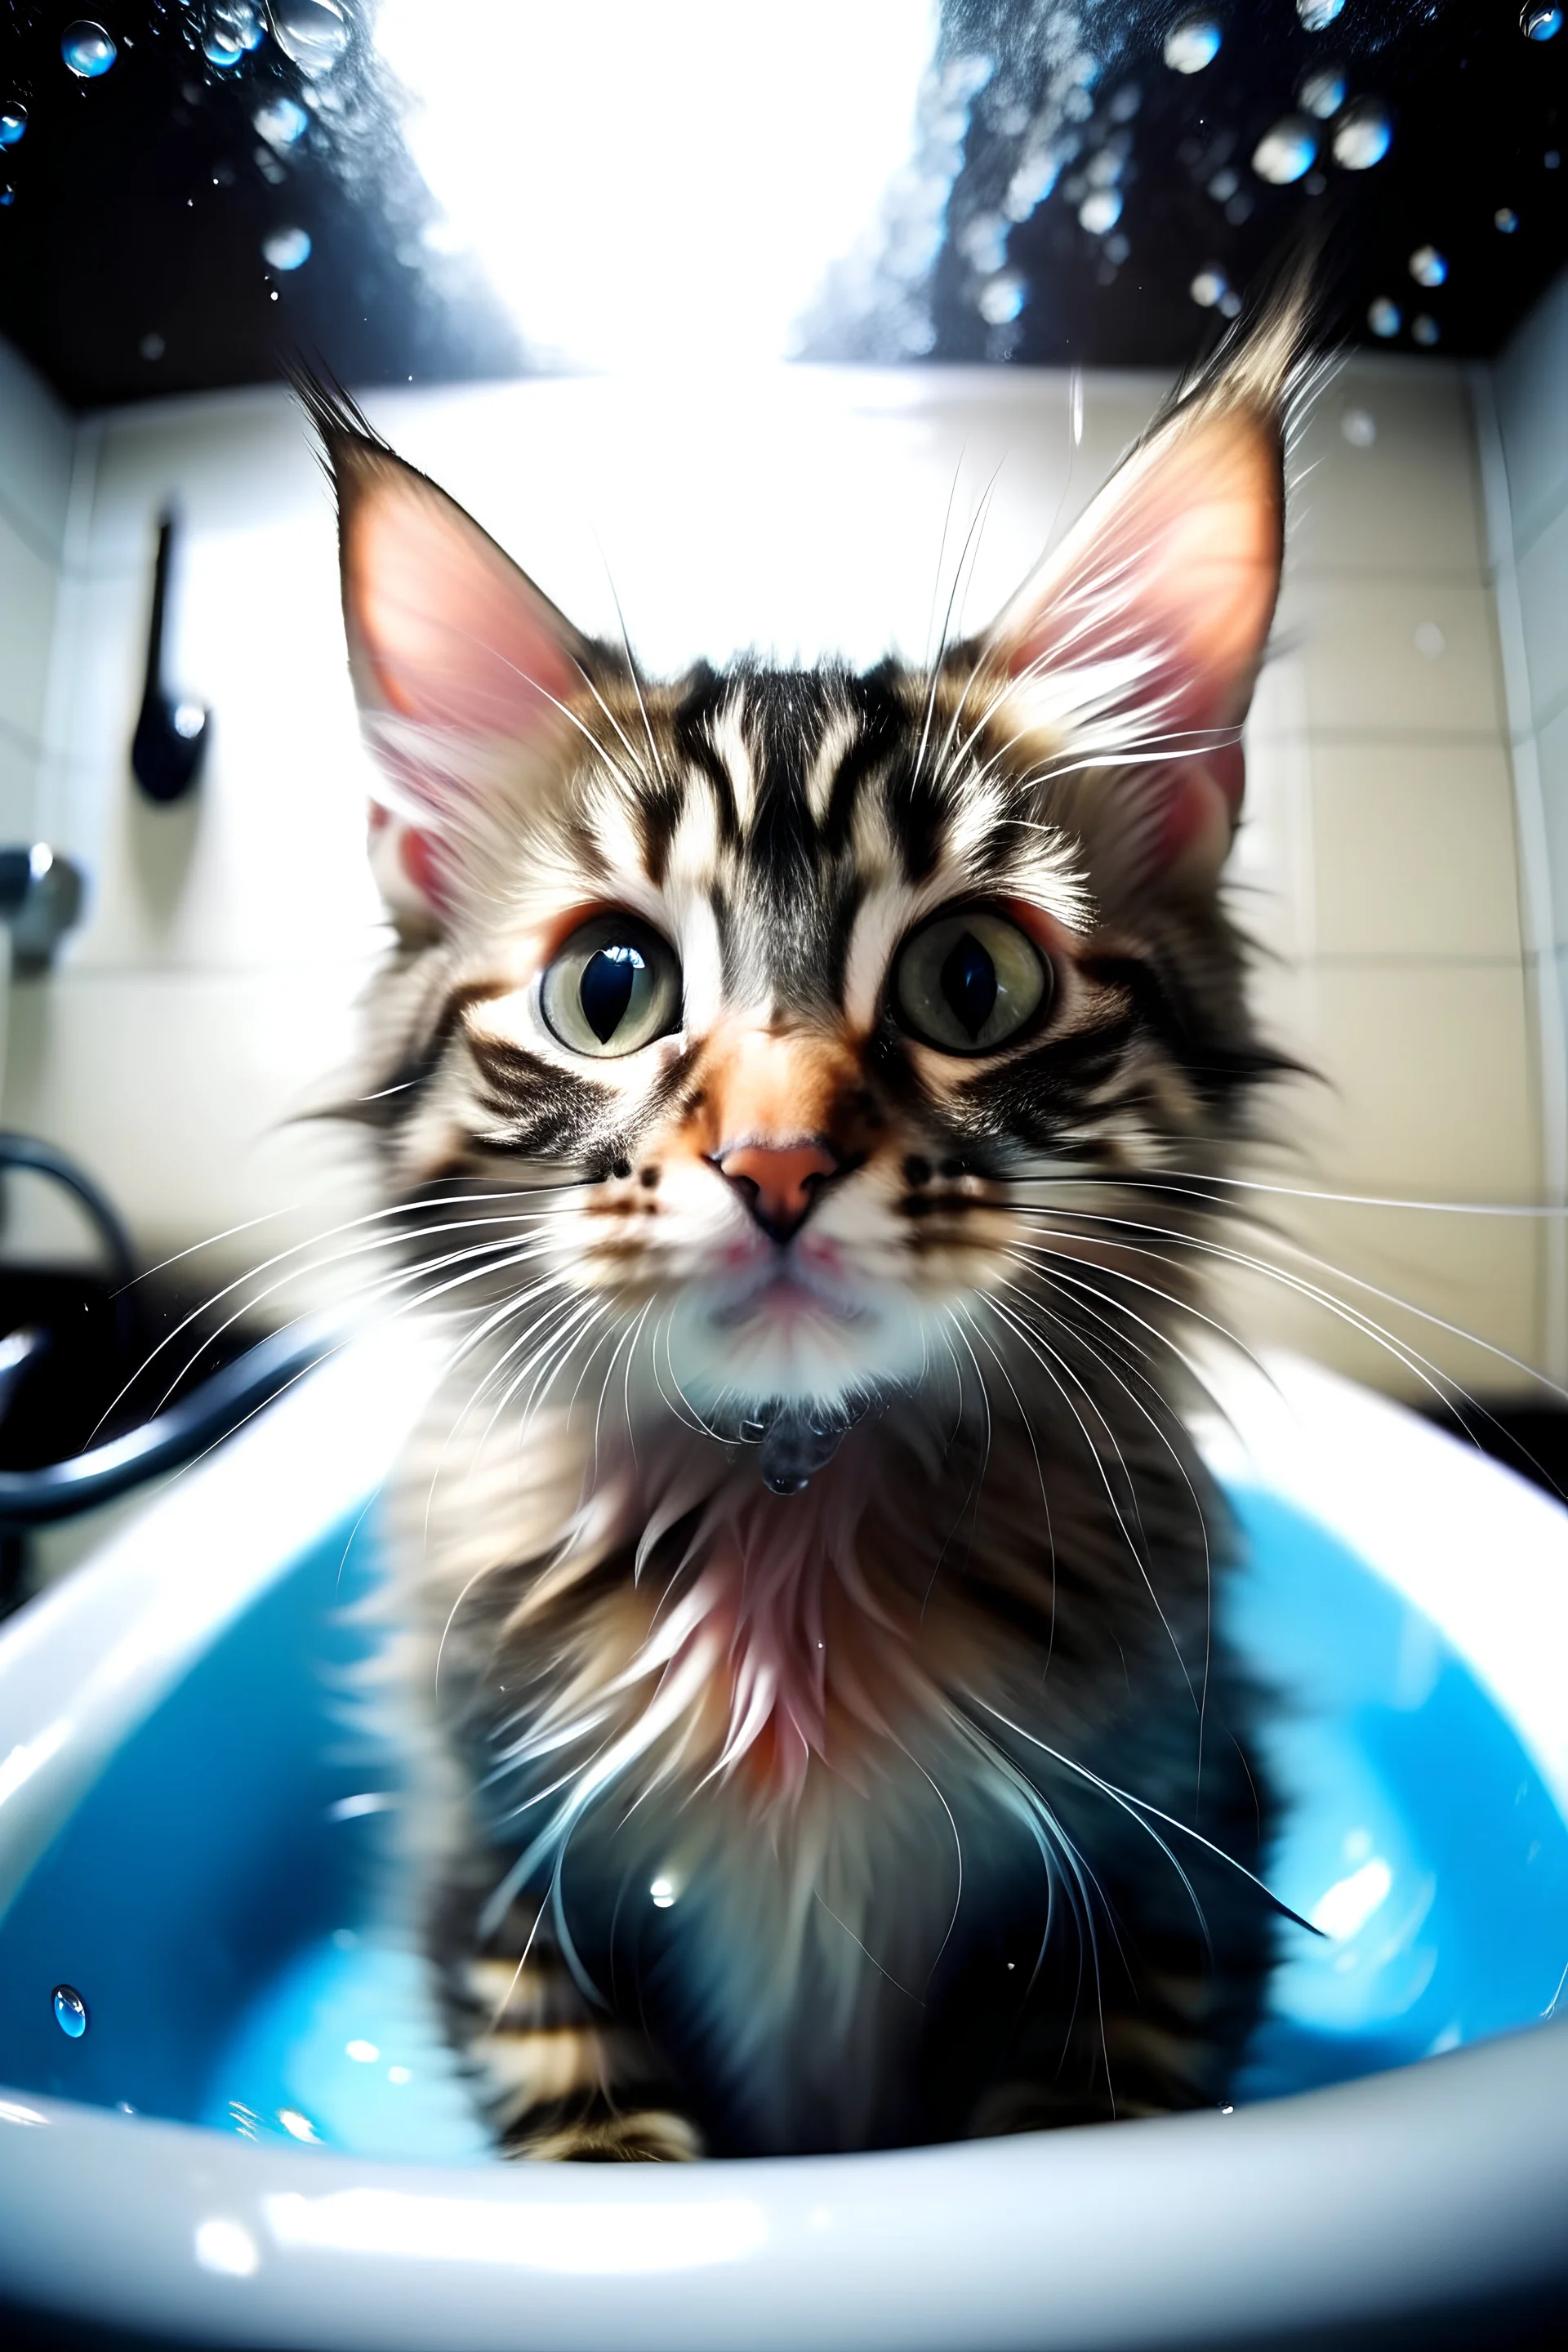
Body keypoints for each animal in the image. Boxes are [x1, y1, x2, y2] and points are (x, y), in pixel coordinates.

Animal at [314, 303, 1297, 2154]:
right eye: (610, 990)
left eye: (971, 983)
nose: (775, 1159)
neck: (788, 1548)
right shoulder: (496, 1890)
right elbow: (606, 2144)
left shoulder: (1185, 1866)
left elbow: (1071, 2122)